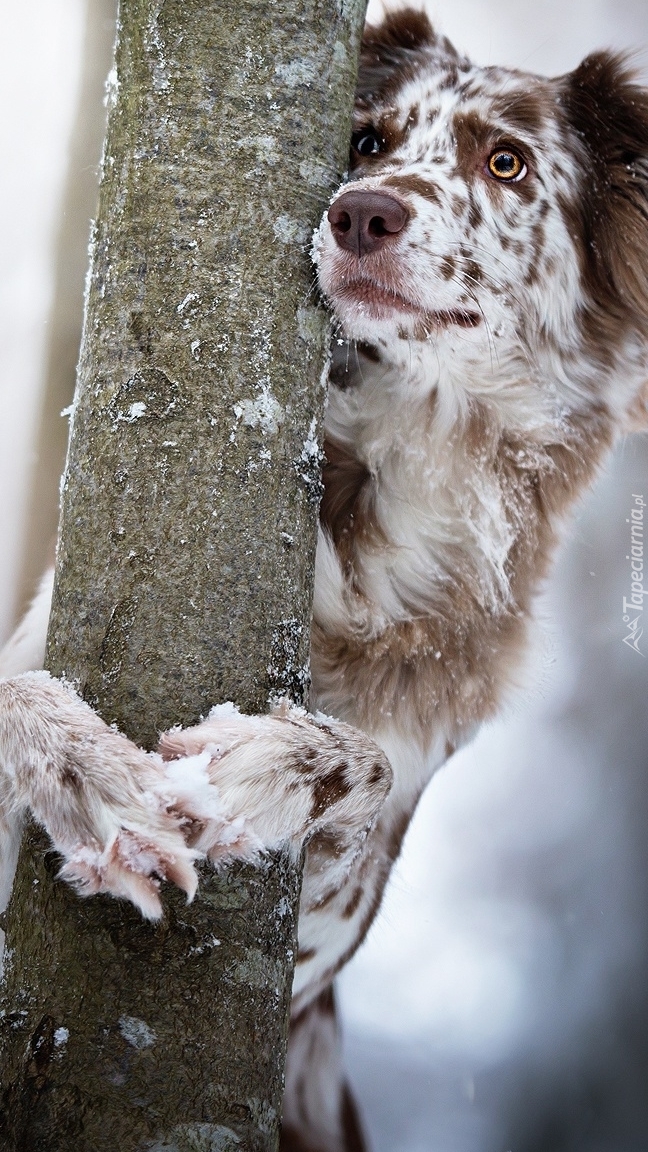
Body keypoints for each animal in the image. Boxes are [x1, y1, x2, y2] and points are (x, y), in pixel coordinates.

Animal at [1, 9, 645, 1152]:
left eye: (507, 161)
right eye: (369, 141)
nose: (362, 213)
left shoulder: (322, 956)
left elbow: (369, 775)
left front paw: (266, 770)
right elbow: (12, 692)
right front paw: (89, 774)